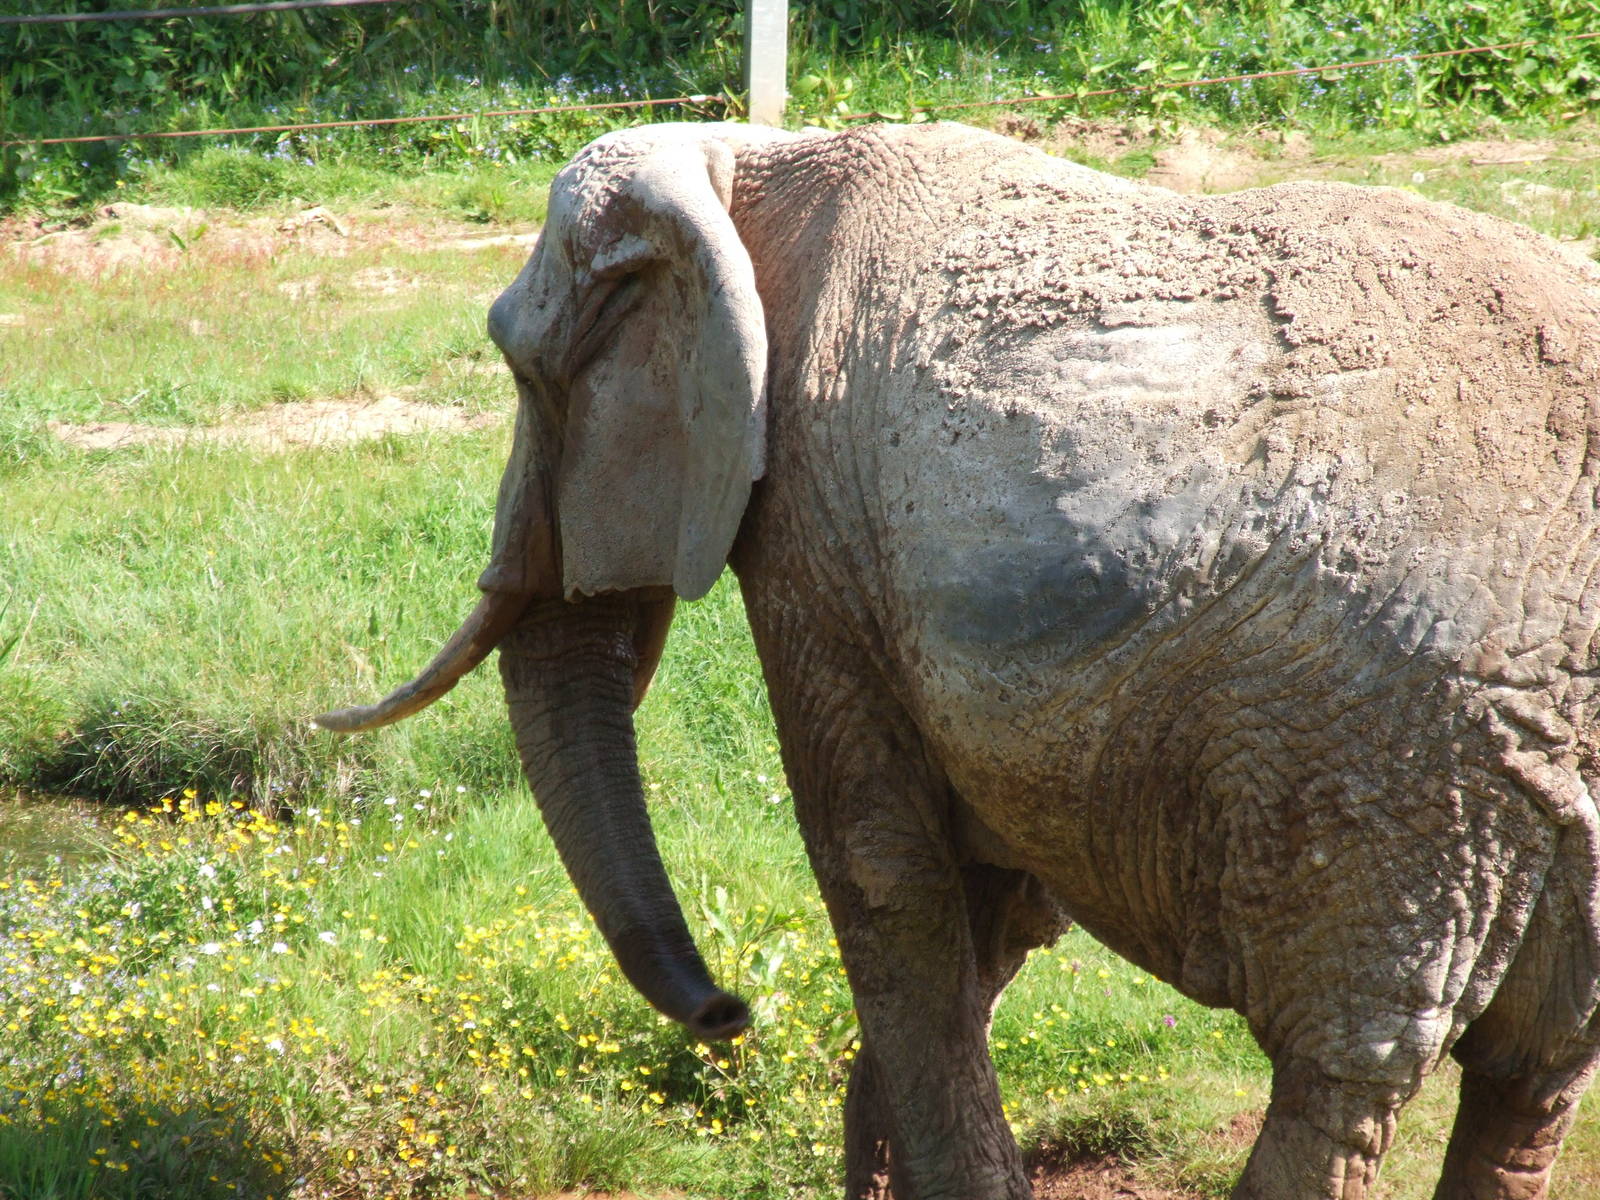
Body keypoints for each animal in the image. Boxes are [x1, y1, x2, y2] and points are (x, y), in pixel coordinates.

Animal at [314, 120, 1600, 1199]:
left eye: (527, 371)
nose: (729, 1010)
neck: (752, 164)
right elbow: (981, 908)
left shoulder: (815, 520)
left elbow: (880, 869)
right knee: (1531, 1080)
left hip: (1381, 764)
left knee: (1343, 1071)